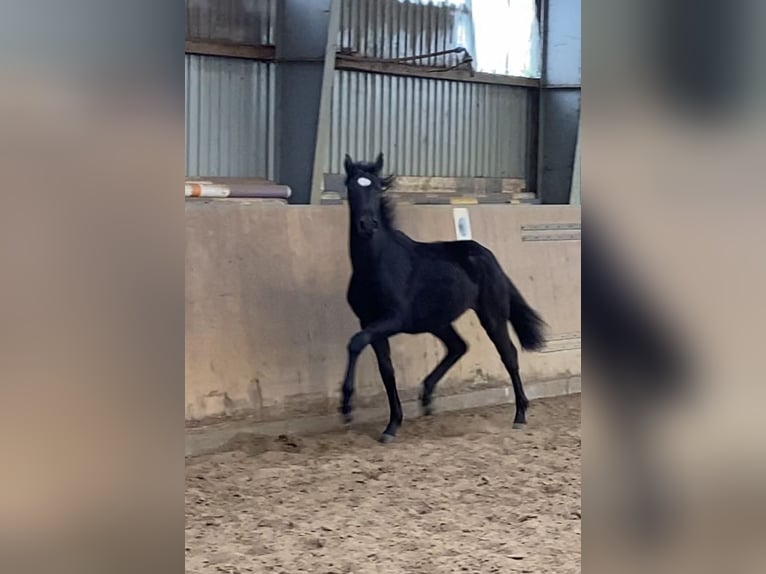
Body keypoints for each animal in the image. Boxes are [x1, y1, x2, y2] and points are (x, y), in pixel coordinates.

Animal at [340, 154, 544, 446]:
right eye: (352, 187)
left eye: (377, 187)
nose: (367, 225)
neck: (376, 265)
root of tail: (487, 255)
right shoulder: (370, 322)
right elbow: (385, 370)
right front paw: (391, 425)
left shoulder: (392, 320)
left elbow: (356, 343)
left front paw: (346, 406)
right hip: (438, 321)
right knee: (458, 346)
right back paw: (427, 398)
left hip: (491, 315)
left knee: (509, 355)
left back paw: (520, 415)